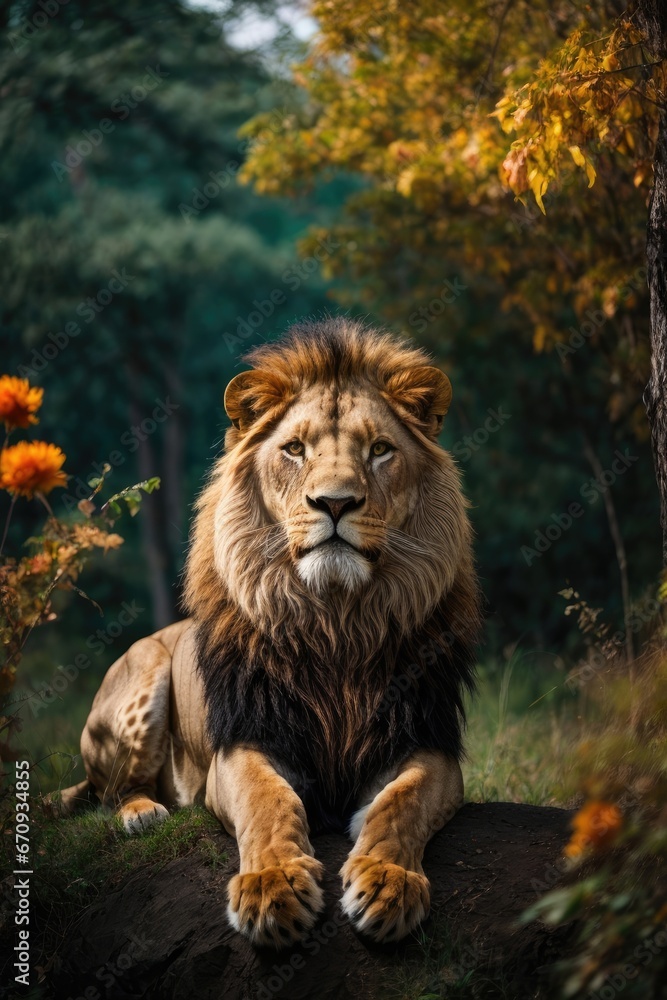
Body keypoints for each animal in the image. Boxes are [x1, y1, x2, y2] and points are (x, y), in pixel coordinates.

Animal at [57, 317, 481, 948]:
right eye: (295, 449)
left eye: (380, 450)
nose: (335, 503)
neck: (337, 625)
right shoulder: (245, 742)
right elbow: (268, 801)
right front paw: (272, 887)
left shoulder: (426, 740)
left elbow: (399, 803)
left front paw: (387, 883)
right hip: (143, 678)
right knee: (111, 792)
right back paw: (144, 813)